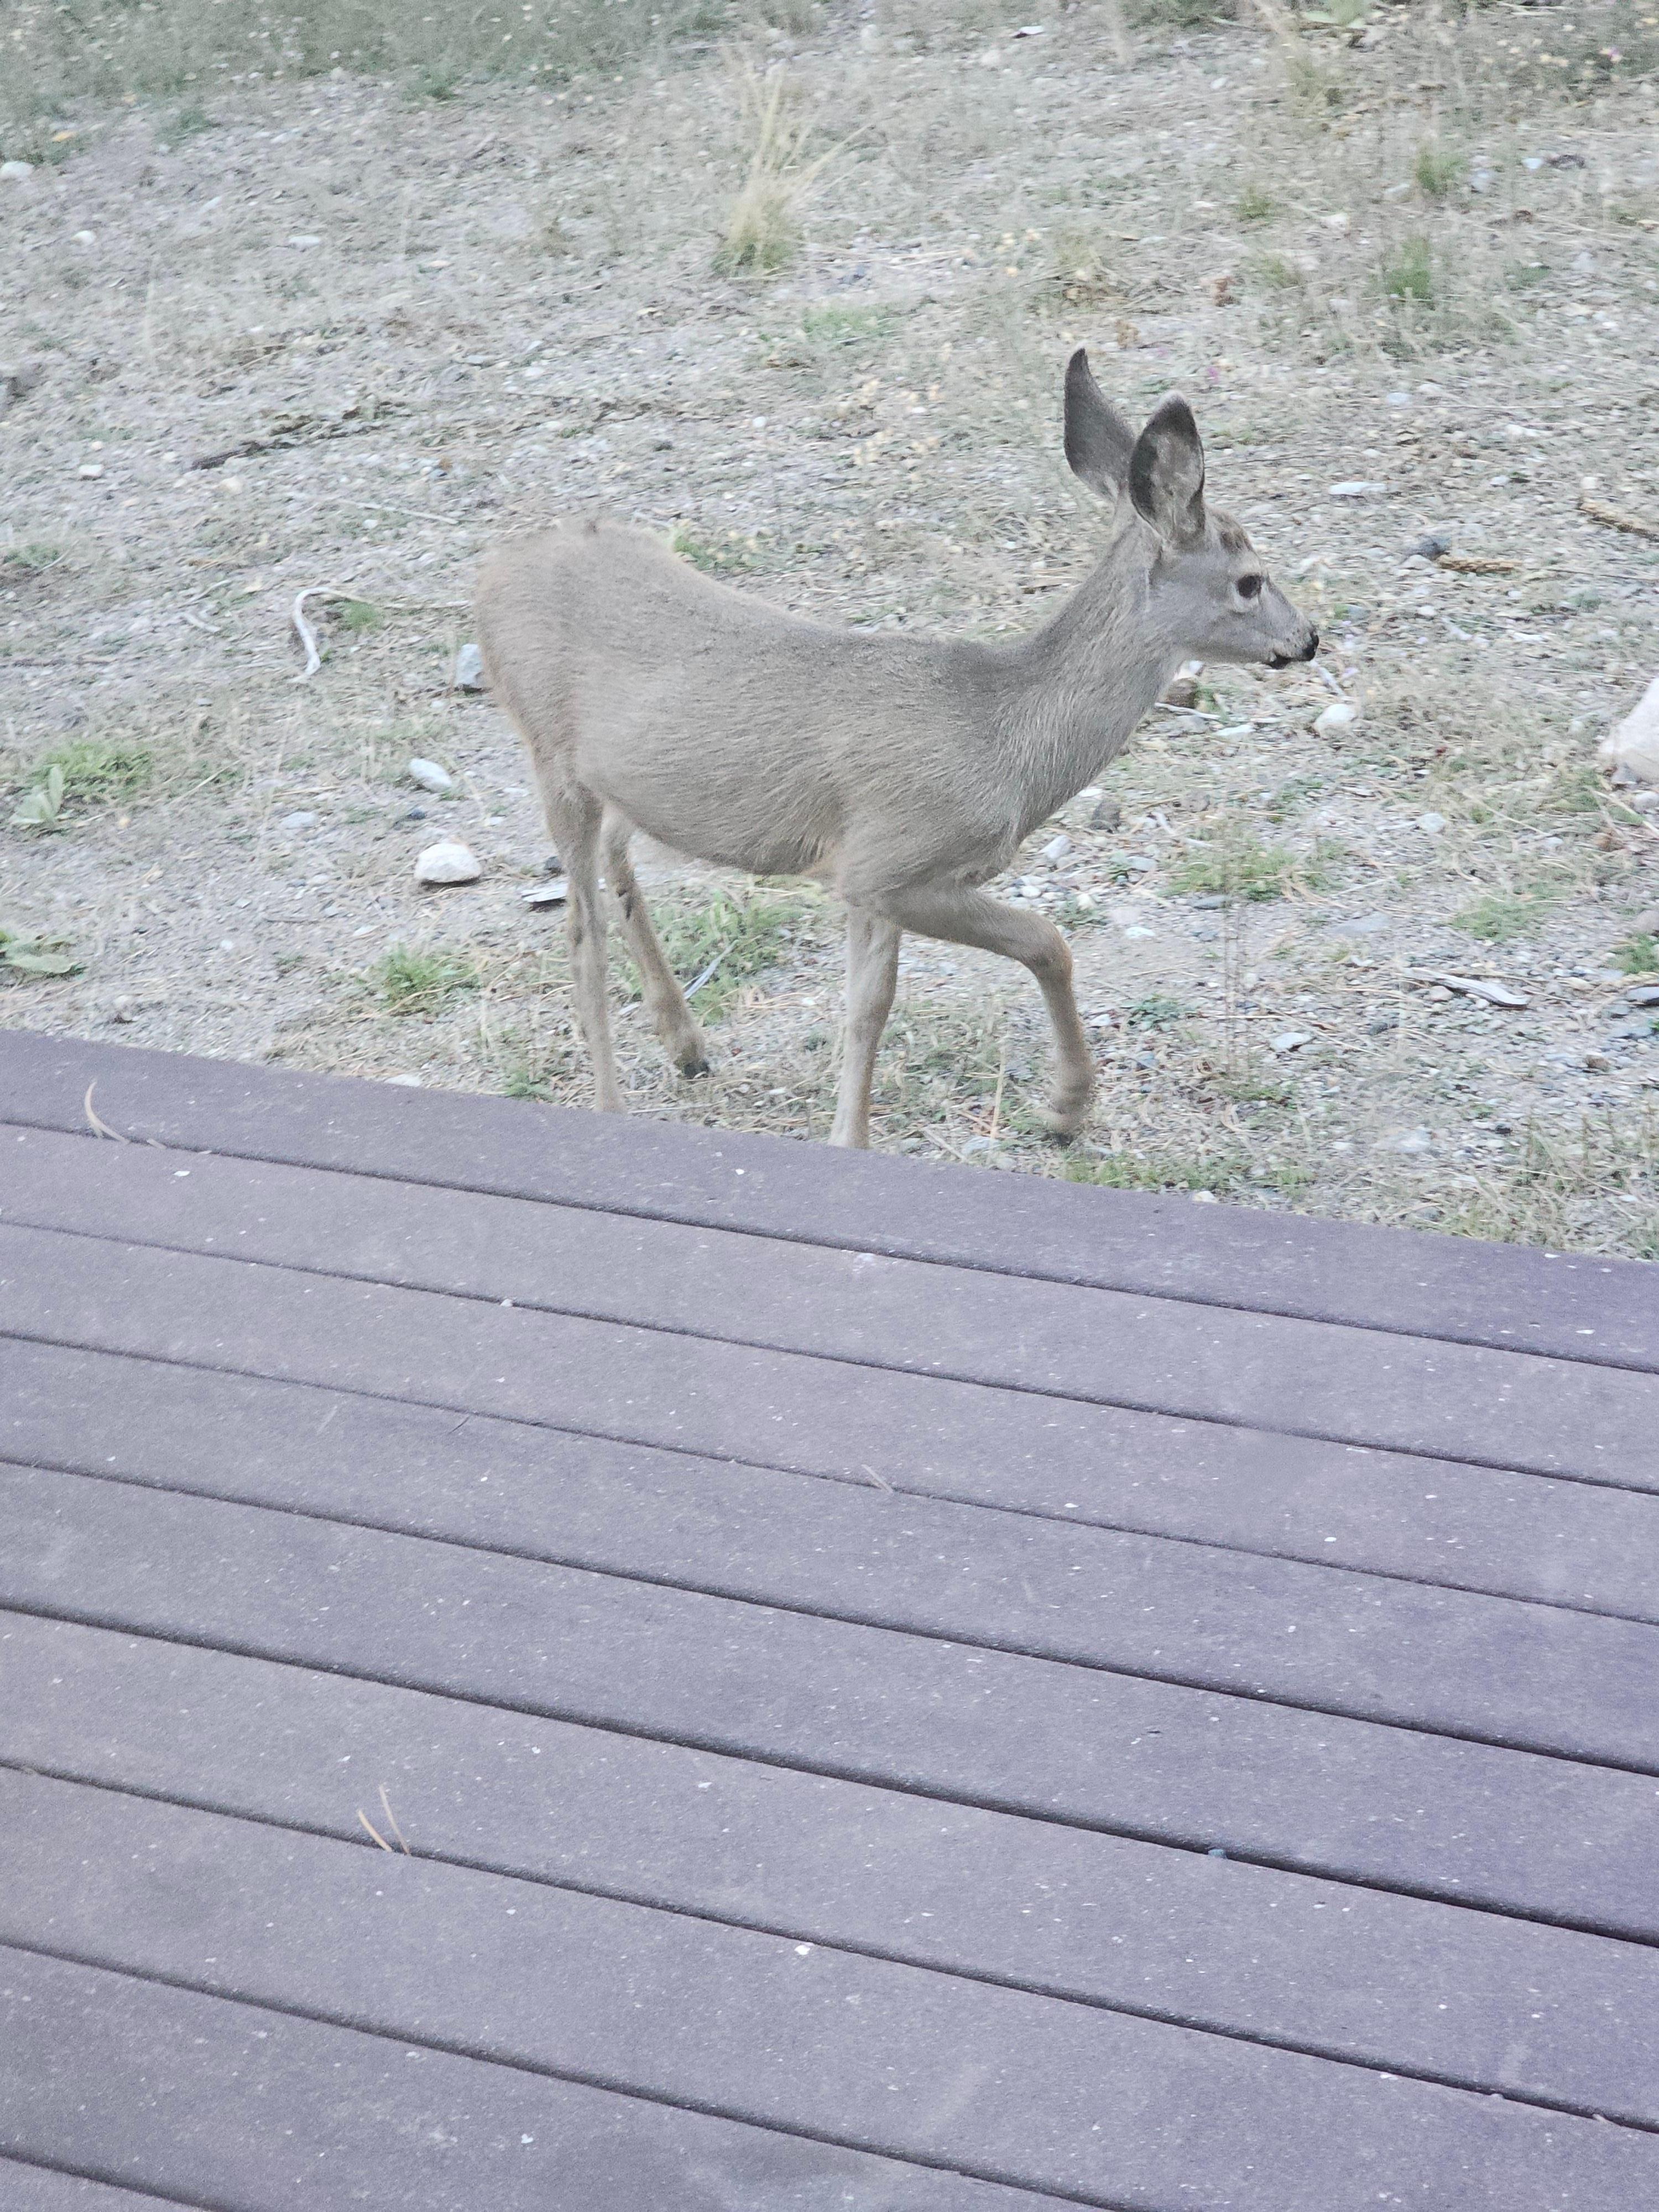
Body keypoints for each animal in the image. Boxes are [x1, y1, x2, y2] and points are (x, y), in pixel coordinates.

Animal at [475, 349, 1317, 1148]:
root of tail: (495, 573)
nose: (1309, 638)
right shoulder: (892, 863)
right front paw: (1066, 1109)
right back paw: (614, 1101)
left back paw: (686, 1043)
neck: (1004, 737)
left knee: (620, 857)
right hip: (549, 754)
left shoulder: (869, 882)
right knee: (580, 935)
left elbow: (868, 1008)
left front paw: (853, 1136)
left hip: (619, 775)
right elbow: (1046, 942)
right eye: (1250, 580)